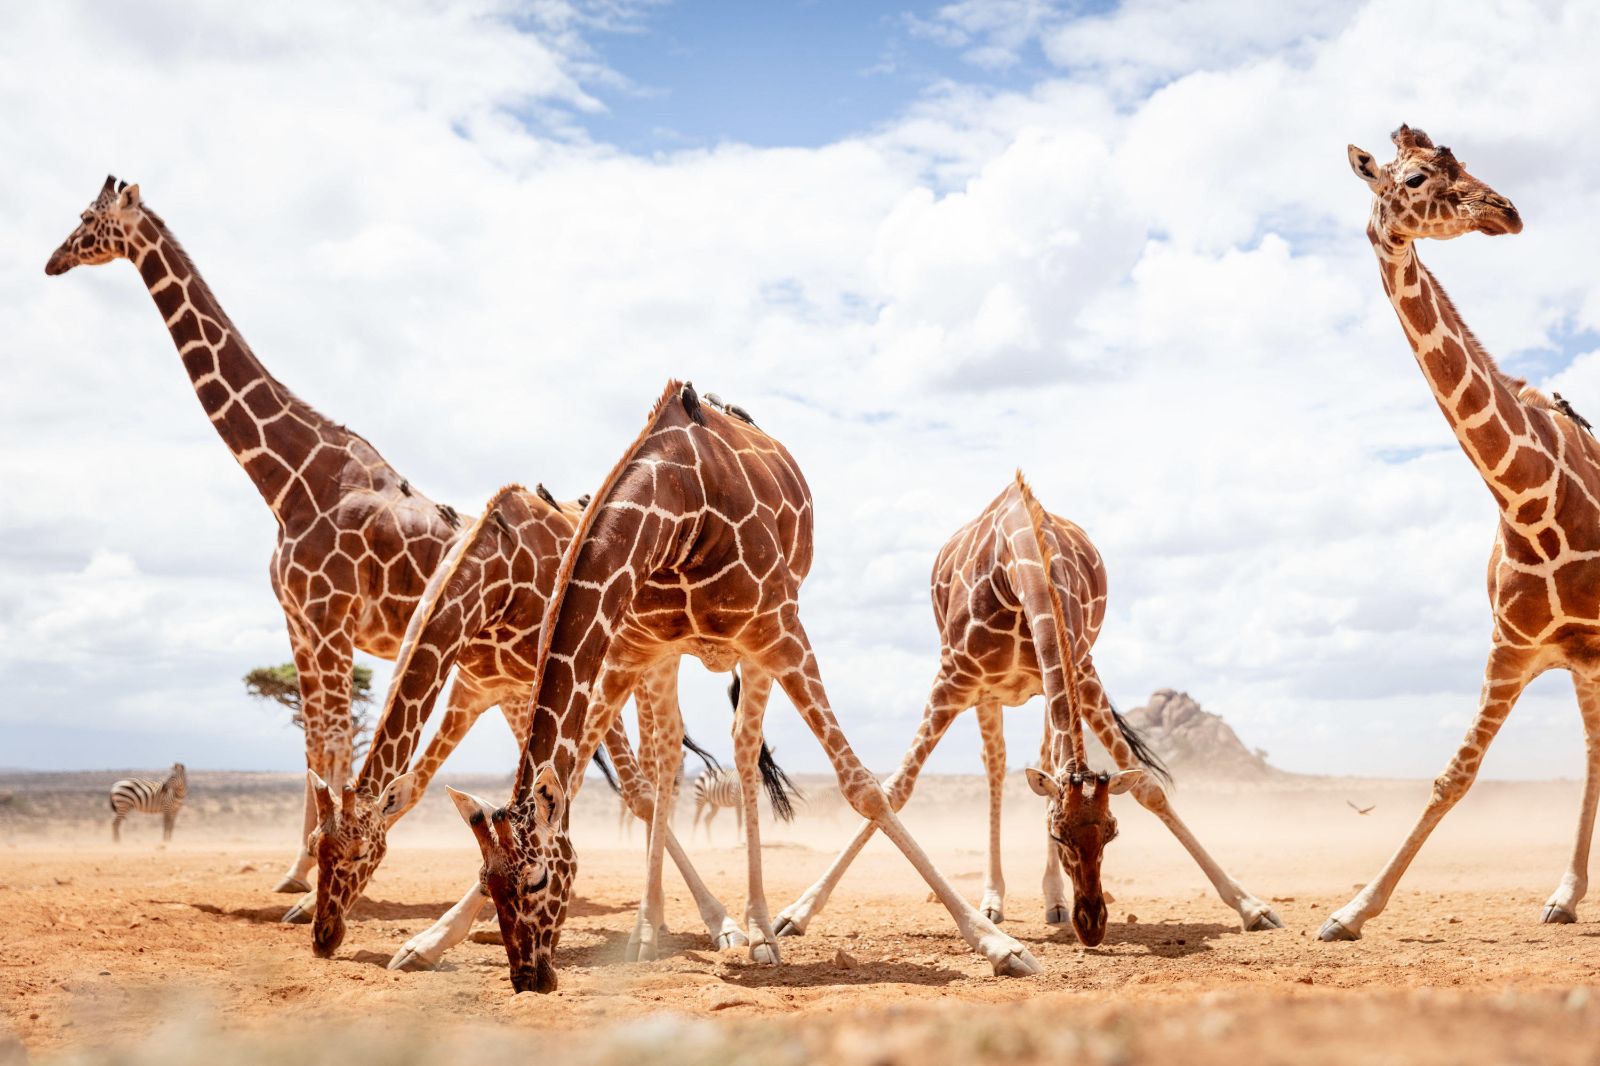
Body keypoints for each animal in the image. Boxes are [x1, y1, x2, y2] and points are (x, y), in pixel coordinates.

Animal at [44, 176, 516, 894]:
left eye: (86, 219)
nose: (52, 261)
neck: (290, 479)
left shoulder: (329, 618)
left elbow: (333, 741)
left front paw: (313, 870)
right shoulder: (297, 620)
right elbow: (313, 743)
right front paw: (296, 870)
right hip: (497, 668)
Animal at [295, 483, 746, 957]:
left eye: (360, 853)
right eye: (314, 846)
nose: (324, 937)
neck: (498, 575)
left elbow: (620, 791)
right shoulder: (479, 690)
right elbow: (421, 788)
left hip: (645, 662)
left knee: (658, 769)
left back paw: (698, 920)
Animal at [441, 380, 1042, 994]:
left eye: (539, 879)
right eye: (488, 881)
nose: (529, 977)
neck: (678, 509)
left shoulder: (780, 632)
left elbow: (863, 789)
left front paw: (999, 944)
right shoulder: (632, 648)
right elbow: (594, 775)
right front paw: (432, 939)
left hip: (756, 649)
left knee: (745, 746)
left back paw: (758, 930)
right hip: (668, 657)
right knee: (669, 759)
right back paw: (653, 930)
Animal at [772, 475, 1283, 944]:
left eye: (1112, 832)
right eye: (1059, 834)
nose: (1091, 924)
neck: (1021, 566)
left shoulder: (1082, 670)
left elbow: (1149, 789)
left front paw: (1251, 905)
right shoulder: (954, 679)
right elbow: (895, 789)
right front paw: (797, 913)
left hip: (1040, 687)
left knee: (1044, 758)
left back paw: (1052, 900)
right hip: (989, 694)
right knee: (996, 767)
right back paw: (994, 900)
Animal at [1321, 125, 1600, 941]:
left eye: (1466, 160)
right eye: (1415, 176)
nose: (1507, 210)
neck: (1529, 502)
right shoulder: (1511, 649)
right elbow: (1454, 775)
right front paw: (1351, 911)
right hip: (1581, 663)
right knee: (1593, 748)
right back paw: (1564, 894)